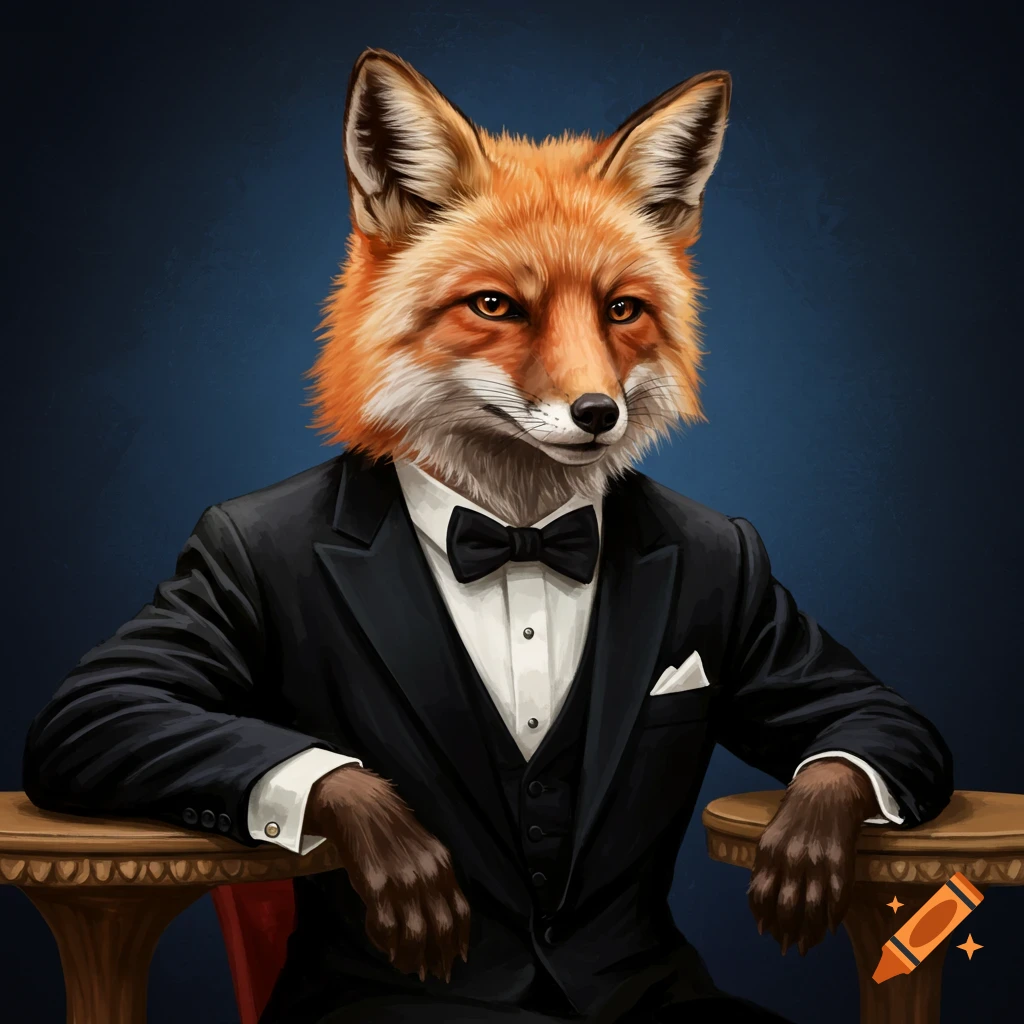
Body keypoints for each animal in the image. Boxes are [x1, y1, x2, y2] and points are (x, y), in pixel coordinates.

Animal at [23, 47, 953, 1024]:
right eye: (498, 306)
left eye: (622, 310)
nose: (599, 413)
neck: (518, 534)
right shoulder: (184, 605)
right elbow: (116, 701)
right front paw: (393, 843)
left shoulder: (757, 590)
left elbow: (863, 718)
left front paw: (808, 840)